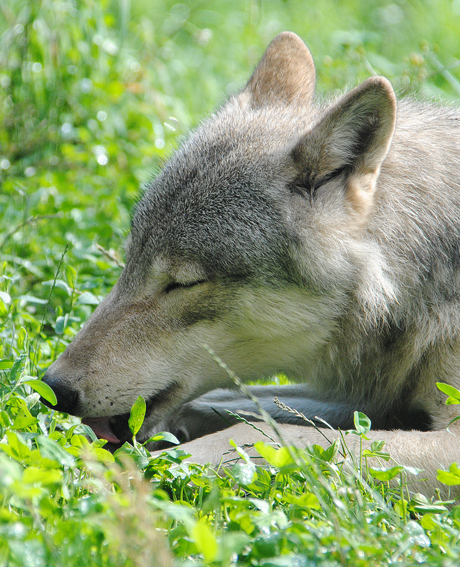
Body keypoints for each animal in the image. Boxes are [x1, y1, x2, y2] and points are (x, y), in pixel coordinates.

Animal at [43, 32, 460, 492]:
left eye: (182, 283)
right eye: (129, 262)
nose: (53, 388)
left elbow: (260, 432)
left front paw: (106, 474)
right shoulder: (368, 397)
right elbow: (238, 402)